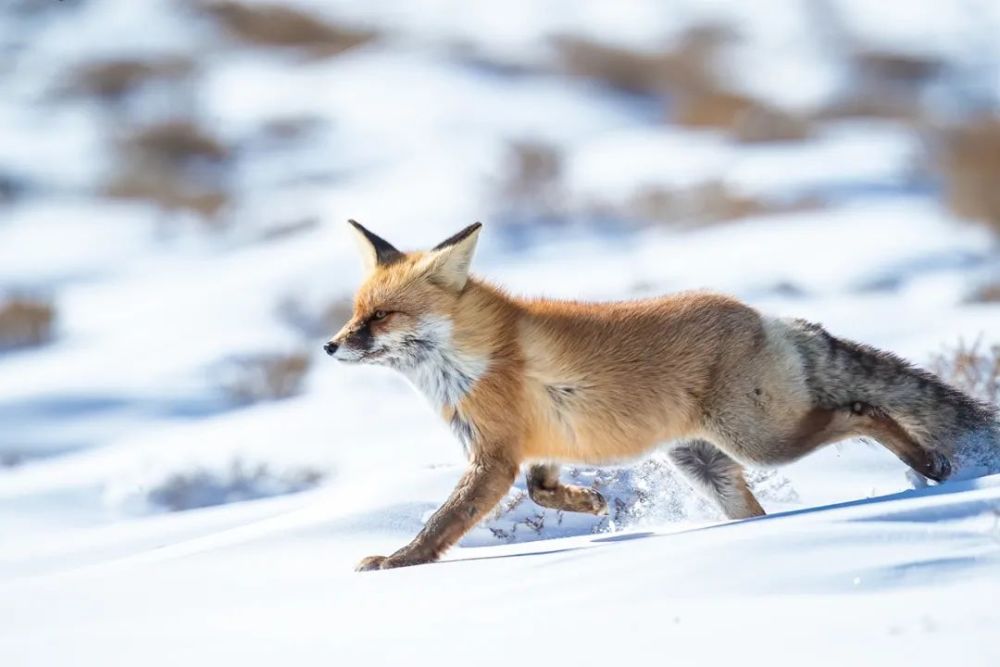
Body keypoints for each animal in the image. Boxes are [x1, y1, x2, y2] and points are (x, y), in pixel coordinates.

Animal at [324, 222, 996, 572]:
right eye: (356, 312)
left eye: (380, 317)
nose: (330, 347)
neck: (471, 357)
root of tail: (765, 317)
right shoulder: (540, 447)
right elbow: (544, 490)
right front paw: (593, 504)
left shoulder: (493, 457)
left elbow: (445, 520)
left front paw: (399, 561)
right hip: (703, 463)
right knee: (756, 511)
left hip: (758, 440)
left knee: (863, 410)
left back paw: (930, 468)